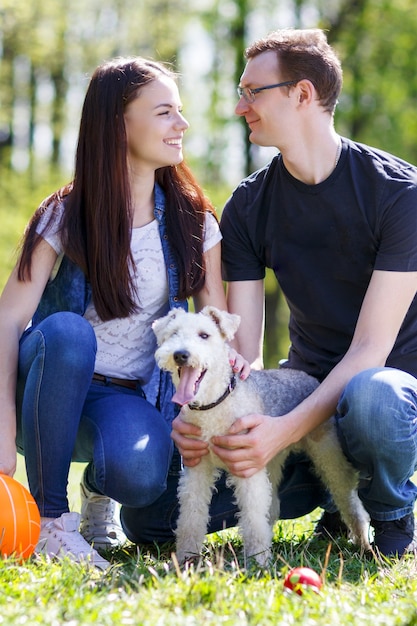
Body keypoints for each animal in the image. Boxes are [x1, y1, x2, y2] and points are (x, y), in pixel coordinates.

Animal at [152, 304, 368, 564]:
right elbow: (191, 516)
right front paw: (187, 558)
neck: (214, 406)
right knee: (272, 508)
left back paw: (363, 544)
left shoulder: (247, 468)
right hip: (271, 462)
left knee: (350, 501)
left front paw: (257, 562)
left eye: (204, 335)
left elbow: (252, 517)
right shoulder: (197, 468)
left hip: (329, 457)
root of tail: (309, 378)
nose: (180, 354)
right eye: (173, 333)